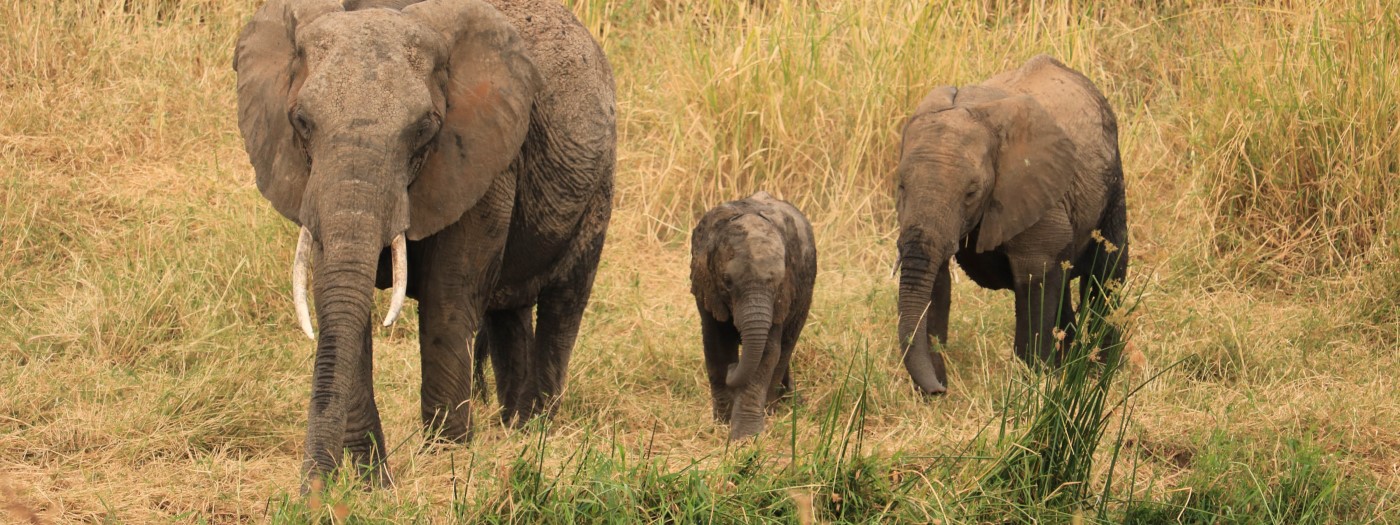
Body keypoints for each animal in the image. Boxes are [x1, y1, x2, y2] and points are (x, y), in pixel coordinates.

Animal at [233, 0, 613, 487]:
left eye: (423, 129)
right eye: (300, 122)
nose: (311, 490)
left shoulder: (483, 157)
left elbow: (448, 296)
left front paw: (447, 461)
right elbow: (336, 295)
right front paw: (371, 480)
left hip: (599, 182)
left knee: (564, 303)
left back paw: (536, 431)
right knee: (508, 314)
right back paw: (513, 429)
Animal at [691, 191, 817, 439]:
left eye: (778, 282)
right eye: (727, 282)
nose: (733, 368)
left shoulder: (783, 297)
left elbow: (767, 352)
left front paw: (745, 437)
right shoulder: (706, 288)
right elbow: (715, 347)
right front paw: (722, 424)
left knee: (786, 346)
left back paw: (772, 409)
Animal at [896, 56, 1125, 394]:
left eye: (971, 193)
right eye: (901, 186)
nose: (940, 390)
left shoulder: (1036, 192)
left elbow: (1034, 274)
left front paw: (1034, 383)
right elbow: (935, 279)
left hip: (1113, 180)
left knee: (1107, 272)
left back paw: (1100, 371)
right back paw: (1073, 364)